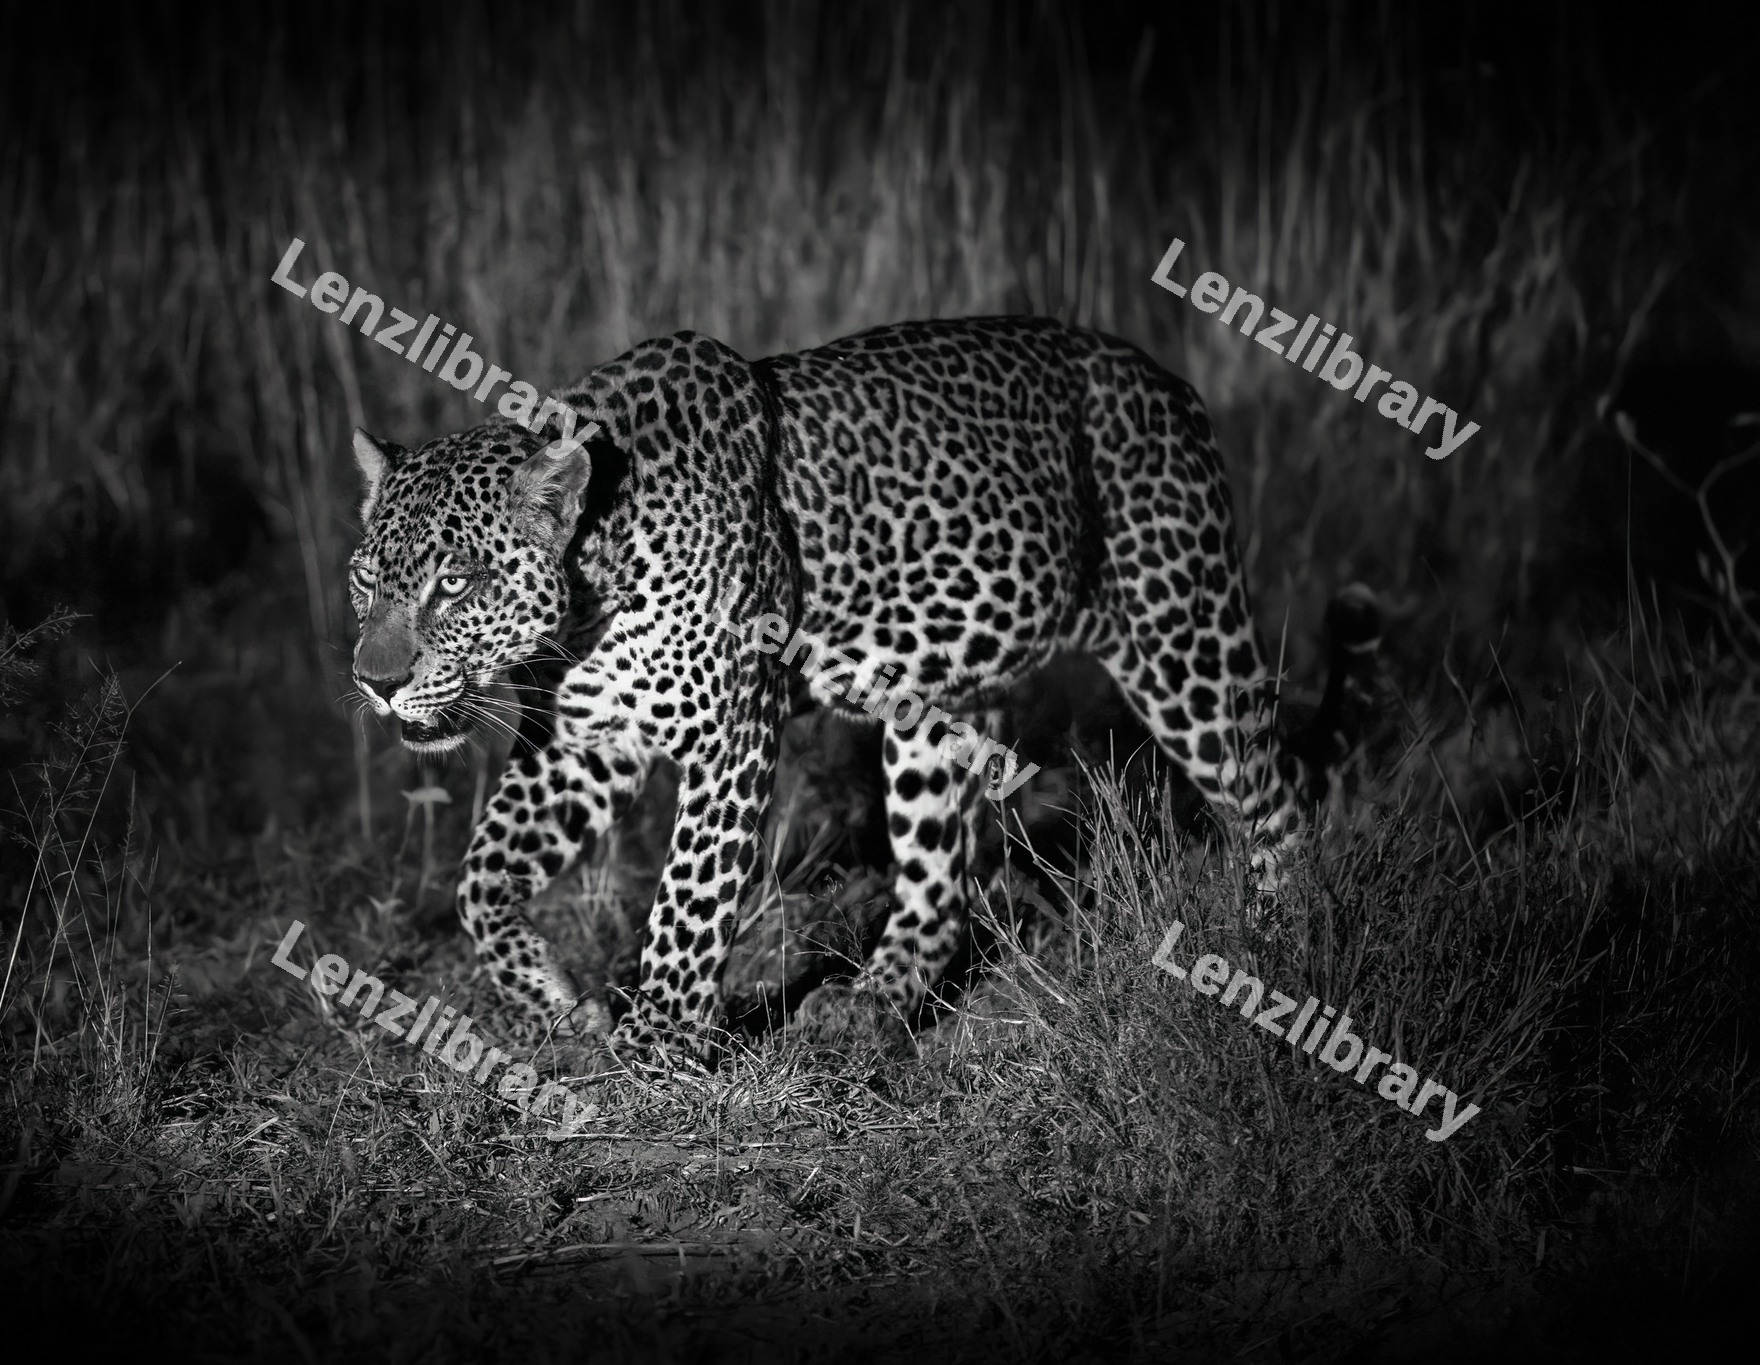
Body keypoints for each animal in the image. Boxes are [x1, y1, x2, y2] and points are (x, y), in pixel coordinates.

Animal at [346, 316, 1380, 1060]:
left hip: (1180, 634)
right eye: (365, 580)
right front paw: (557, 1008)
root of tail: (1172, 383)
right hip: (931, 710)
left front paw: (655, 1042)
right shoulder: (586, 742)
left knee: (1277, 791)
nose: (375, 681)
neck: (591, 582)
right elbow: (480, 878)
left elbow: (687, 899)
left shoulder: (729, 734)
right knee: (939, 887)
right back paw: (869, 1007)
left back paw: (1281, 952)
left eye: (454, 582)